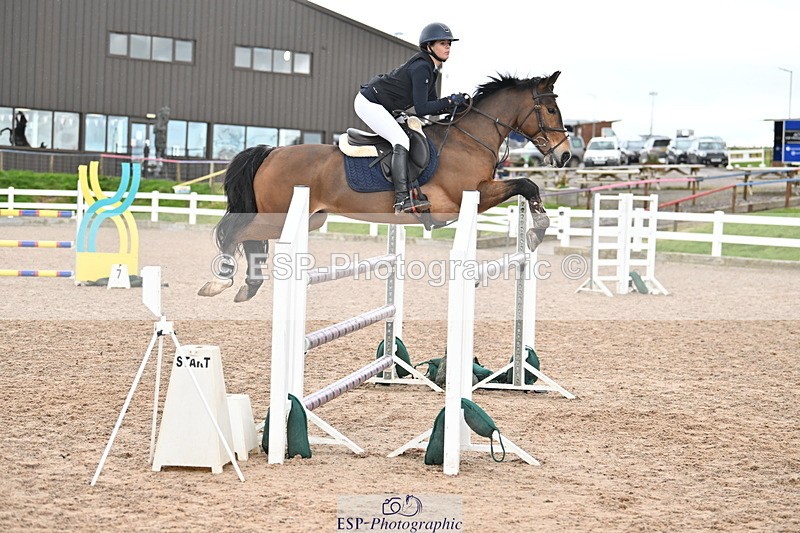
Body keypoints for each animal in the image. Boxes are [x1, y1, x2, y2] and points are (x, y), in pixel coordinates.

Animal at [198, 71, 572, 302]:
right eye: (550, 109)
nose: (566, 154)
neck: (469, 139)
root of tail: (271, 152)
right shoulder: (469, 195)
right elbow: (526, 183)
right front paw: (538, 230)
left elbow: (525, 186)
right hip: (279, 216)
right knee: (236, 232)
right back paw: (221, 282)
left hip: (308, 218)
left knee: (250, 239)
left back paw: (248, 286)